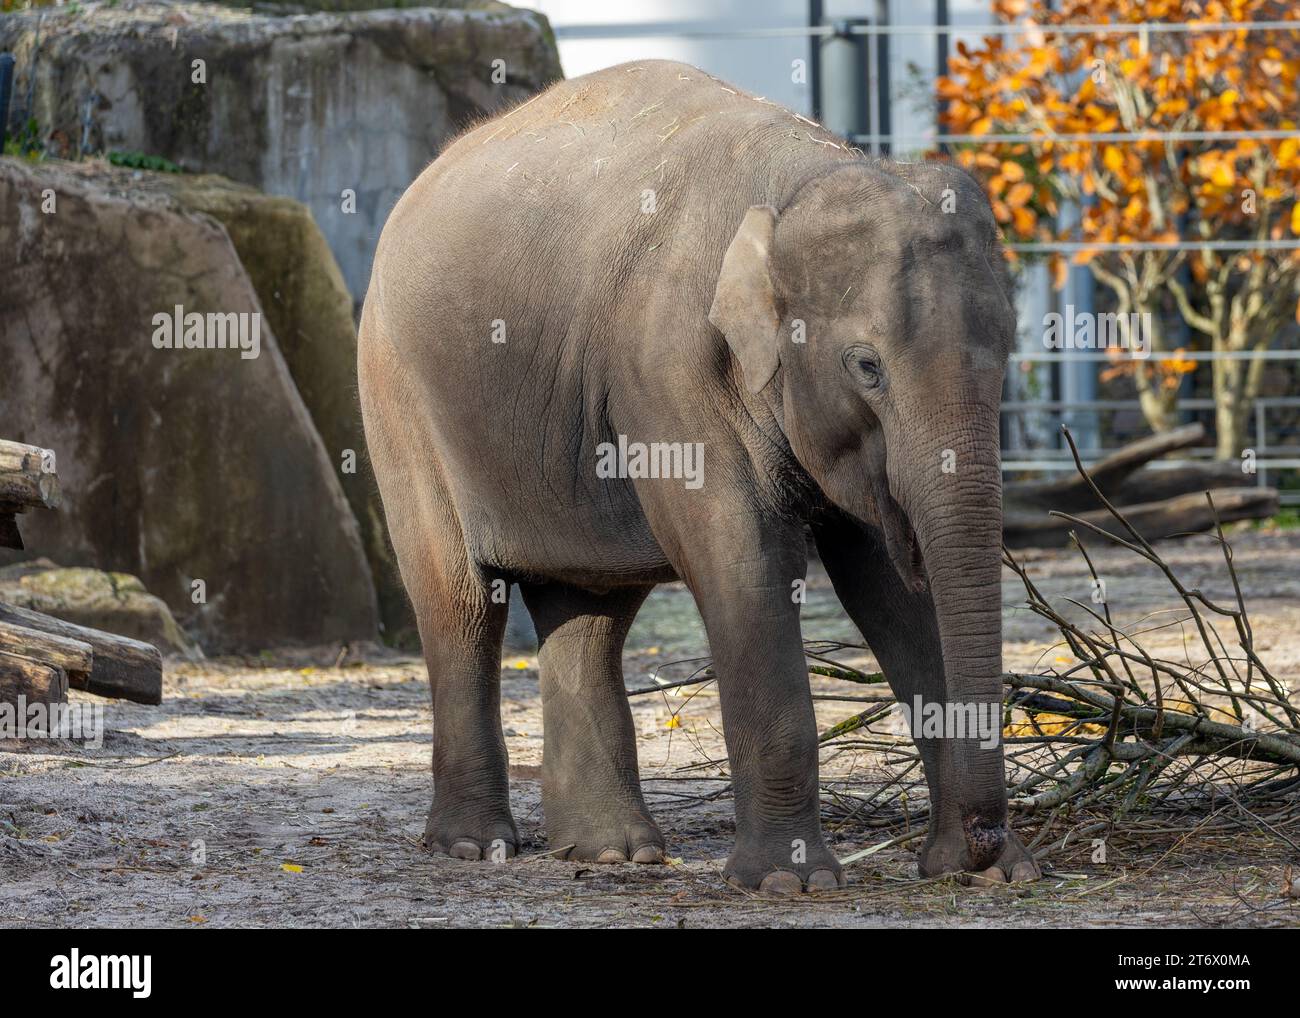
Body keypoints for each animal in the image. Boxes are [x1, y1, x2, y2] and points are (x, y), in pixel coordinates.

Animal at [358, 59, 1041, 893]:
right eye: (867, 367)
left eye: (1008, 353)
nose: (983, 842)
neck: (797, 181)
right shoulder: (669, 366)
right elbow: (741, 558)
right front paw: (790, 884)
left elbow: (886, 586)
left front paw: (990, 874)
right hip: (399, 395)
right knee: (458, 598)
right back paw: (472, 846)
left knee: (590, 611)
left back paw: (612, 853)